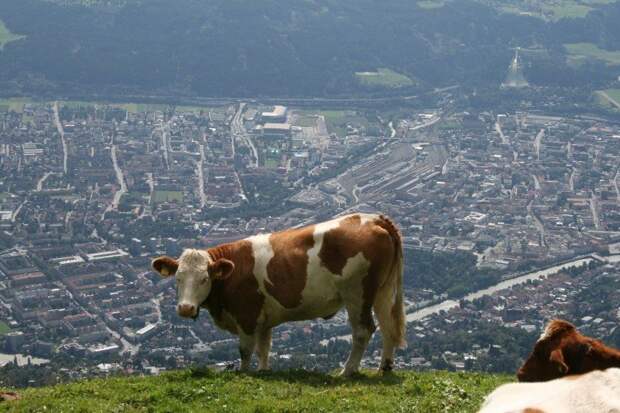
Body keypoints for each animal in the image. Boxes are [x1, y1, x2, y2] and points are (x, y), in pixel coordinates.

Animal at [151, 214, 406, 374]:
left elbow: (245, 350)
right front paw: (264, 371)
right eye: (177, 279)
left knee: (363, 330)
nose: (185, 308)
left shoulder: (247, 315)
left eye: (204, 279)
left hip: (357, 294)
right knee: (388, 326)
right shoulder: (264, 319)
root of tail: (373, 218)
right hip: (382, 290)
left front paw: (244, 373)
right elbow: (264, 347)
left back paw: (348, 370)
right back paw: (384, 367)